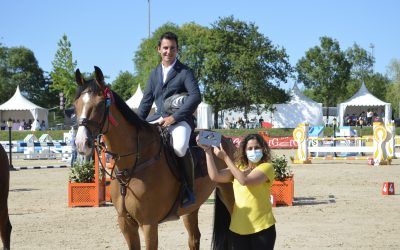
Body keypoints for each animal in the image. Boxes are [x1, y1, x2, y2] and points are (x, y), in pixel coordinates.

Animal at [74, 67, 234, 250]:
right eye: (75, 105)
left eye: (100, 104)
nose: (81, 143)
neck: (130, 168)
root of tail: (226, 139)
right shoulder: (126, 223)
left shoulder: (148, 224)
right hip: (192, 208)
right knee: (194, 238)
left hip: (229, 192)